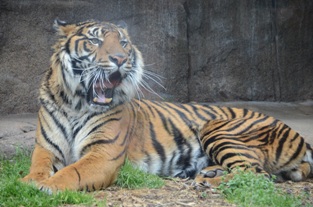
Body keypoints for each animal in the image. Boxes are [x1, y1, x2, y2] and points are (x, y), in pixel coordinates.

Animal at [22, 19, 312, 192]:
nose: (120, 58)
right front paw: (27, 181)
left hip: (218, 128)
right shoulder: (46, 148)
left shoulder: (103, 155)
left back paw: (207, 182)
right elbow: (38, 168)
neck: (76, 104)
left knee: (256, 174)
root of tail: (297, 134)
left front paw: (43, 187)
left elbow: (71, 173)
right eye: (95, 41)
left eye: (123, 42)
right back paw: (206, 174)